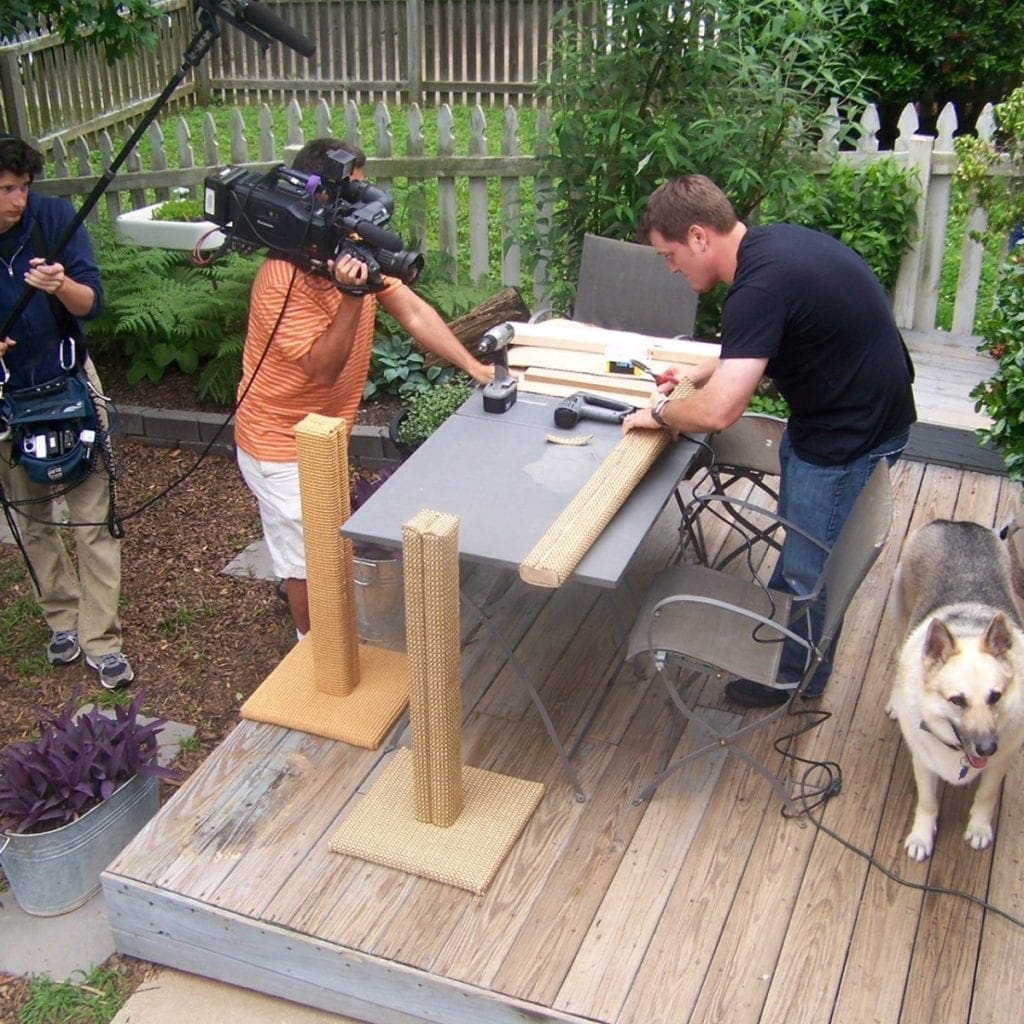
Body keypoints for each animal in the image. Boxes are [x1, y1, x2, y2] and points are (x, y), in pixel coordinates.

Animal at [884, 520, 1024, 864]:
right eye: (957, 701)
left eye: (995, 696)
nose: (987, 748)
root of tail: (957, 523)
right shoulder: (923, 764)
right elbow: (927, 802)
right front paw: (922, 836)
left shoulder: (1000, 763)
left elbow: (987, 795)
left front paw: (979, 827)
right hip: (901, 615)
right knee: (898, 652)